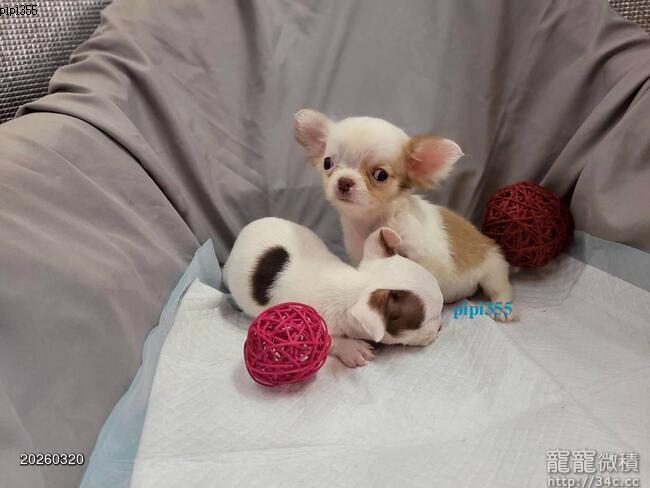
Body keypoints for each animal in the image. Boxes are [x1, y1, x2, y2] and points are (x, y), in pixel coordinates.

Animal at [294, 110, 517, 321]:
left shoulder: (424, 257)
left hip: (492, 269)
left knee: (501, 288)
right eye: (327, 163)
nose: (344, 181)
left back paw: (502, 307)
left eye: (380, 175)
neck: (371, 222)